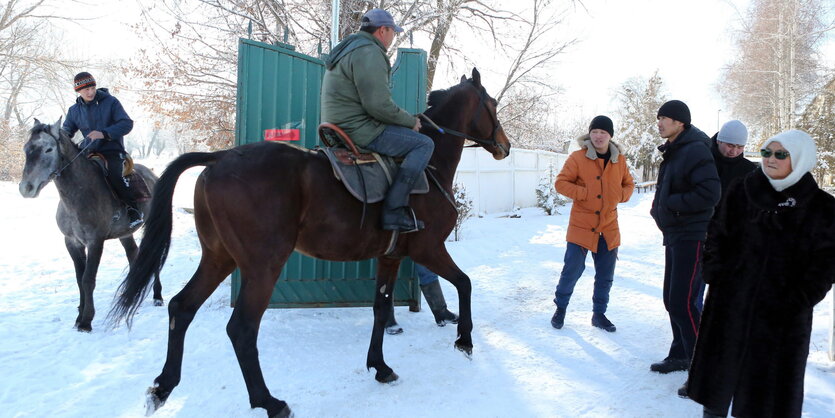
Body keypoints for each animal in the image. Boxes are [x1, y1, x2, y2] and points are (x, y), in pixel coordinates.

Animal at [18, 119, 162, 332]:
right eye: (26, 148)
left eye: (48, 149)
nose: (26, 188)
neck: (79, 194)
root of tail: (153, 176)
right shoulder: (72, 242)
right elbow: (79, 278)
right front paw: (79, 316)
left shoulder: (95, 242)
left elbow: (88, 279)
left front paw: (86, 320)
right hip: (125, 234)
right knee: (133, 254)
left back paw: (158, 296)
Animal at [108, 69, 512, 418]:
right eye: (491, 105)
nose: (505, 146)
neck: (429, 165)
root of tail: (220, 157)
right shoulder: (429, 249)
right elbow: (465, 283)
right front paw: (465, 340)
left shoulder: (392, 257)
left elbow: (381, 309)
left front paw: (379, 366)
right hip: (263, 266)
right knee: (241, 328)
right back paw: (269, 402)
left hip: (218, 258)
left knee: (182, 307)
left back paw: (163, 386)